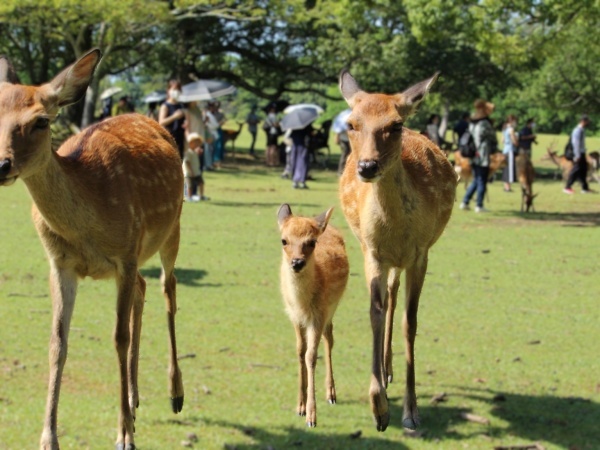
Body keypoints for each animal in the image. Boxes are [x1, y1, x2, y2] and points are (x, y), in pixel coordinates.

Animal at [0, 47, 185, 448]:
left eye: (40, 121)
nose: (1, 164)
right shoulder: (60, 263)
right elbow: (57, 342)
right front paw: (48, 438)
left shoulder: (125, 255)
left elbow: (118, 337)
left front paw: (124, 436)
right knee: (144, 290)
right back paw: (133, 399)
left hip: (172, 227)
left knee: (168, 289)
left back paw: (175, 394)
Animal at [278, 204, 350, 428]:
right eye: (284, 240)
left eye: (311, 242)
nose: (297, 262)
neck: (302, 304)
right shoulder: (294, 316)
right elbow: (300, 351)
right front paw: (300, 407)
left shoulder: (318, 315)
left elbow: (311, 355)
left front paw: (311, 417)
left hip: (332, 309)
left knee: (330, 339)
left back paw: (331, 394)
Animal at [338, 70, 454, 432]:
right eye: (351, 123)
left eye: (395, 124)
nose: (367, 166)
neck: (396, 231)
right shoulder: (372, 251)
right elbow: (375, 313)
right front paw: (379, 408)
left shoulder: (420, 253)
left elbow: (410, 322)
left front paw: (411, 411)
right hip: (383, 258)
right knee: (389, 295)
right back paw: (385, 371)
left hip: (405, 260)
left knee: (395, 293)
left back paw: (390, 371)